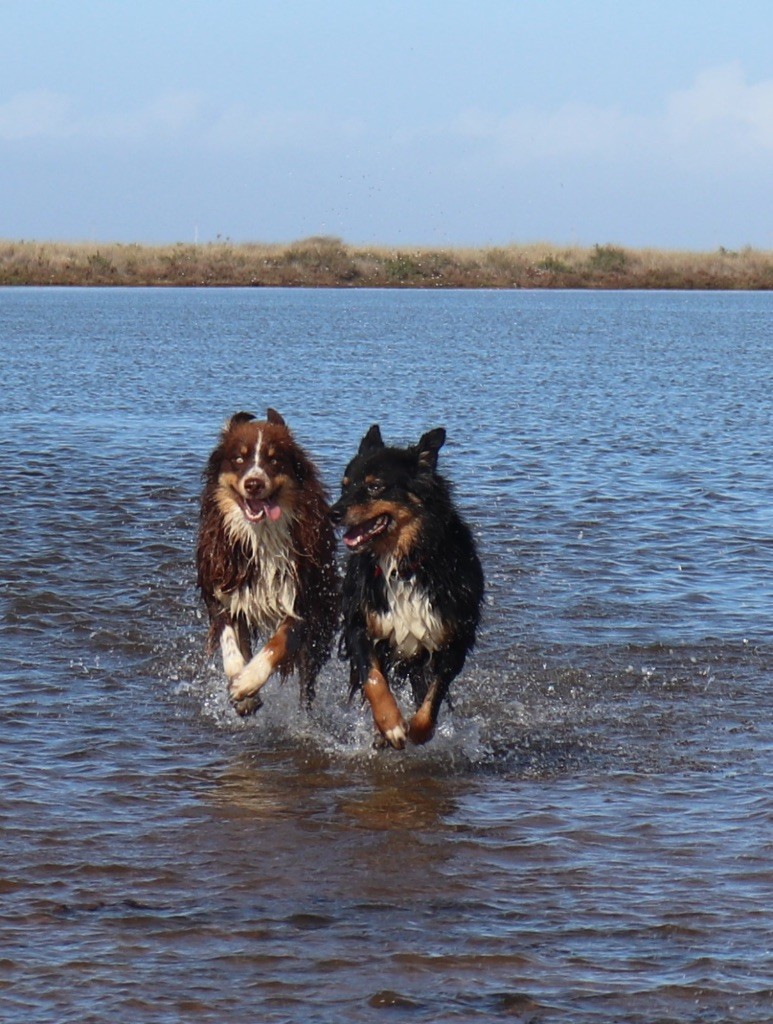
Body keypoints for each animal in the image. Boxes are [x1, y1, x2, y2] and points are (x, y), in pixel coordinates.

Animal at [194, 411, 337, 716]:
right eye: (239, 459)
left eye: (274, 460)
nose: (254, 483)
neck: (259, 536)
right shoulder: (223, 588)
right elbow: (230, 640)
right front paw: (241, 684)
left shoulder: (302, 599)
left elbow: (278, 644)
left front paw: (247, 681)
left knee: (307, 680)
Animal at [331, 419, 483, 749]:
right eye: (345, 485)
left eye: (374, 486)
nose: (332, 512)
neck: (404, 565)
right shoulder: (360, 625)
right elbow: (373, 678)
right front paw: (389, 725)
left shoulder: (454, 638)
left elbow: (433, 696)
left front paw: (419, 730)